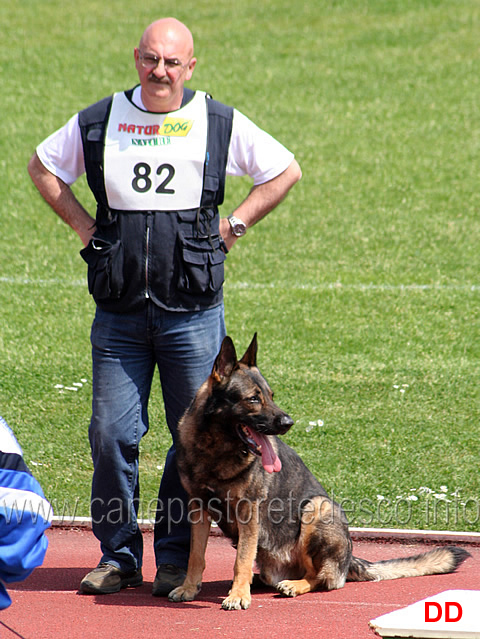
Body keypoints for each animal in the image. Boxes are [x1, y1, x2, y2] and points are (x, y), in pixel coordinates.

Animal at [169, 336, 468, 608]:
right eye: (253, 399)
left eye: (271, 396)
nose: (289, 422)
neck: (215, 449)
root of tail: (349, 559)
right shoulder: (198, 509)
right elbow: (196, 555)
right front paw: (189, 587)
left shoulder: (249, 511)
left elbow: (240, 560)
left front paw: (238, 595)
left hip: (317, 508)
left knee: (322, 578)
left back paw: (292, 584)